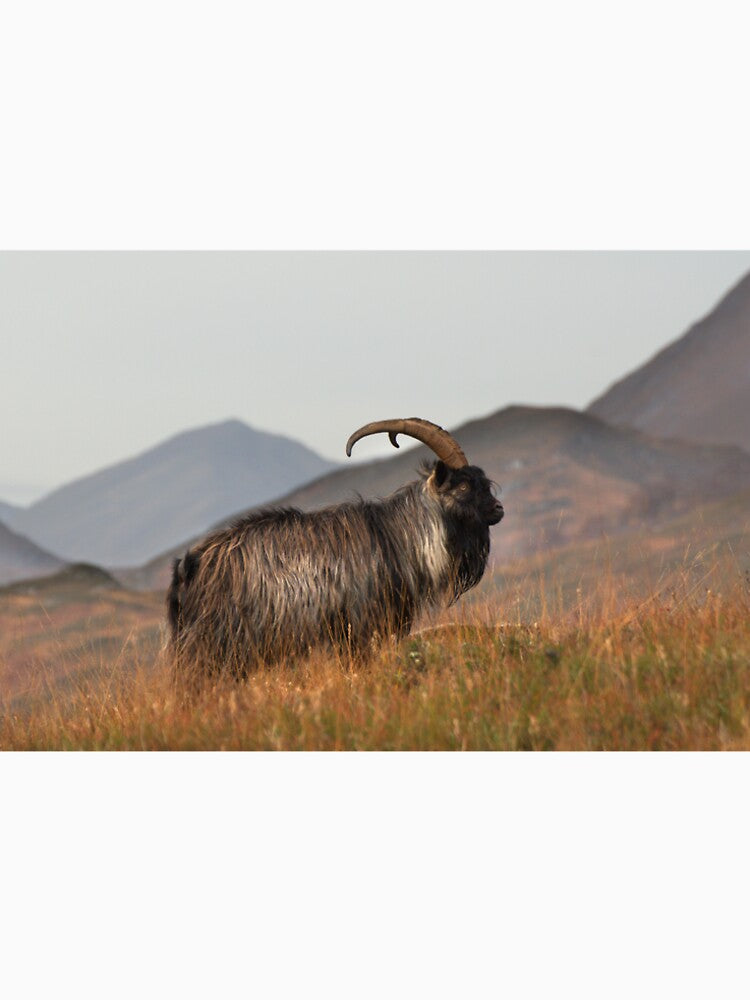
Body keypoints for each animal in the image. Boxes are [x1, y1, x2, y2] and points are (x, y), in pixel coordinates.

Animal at [167, 417, 503, 681]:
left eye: (483, 482)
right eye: (463, 487)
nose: (498, 509)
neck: (396, 538)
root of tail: (188, 566)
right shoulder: (360, 626)